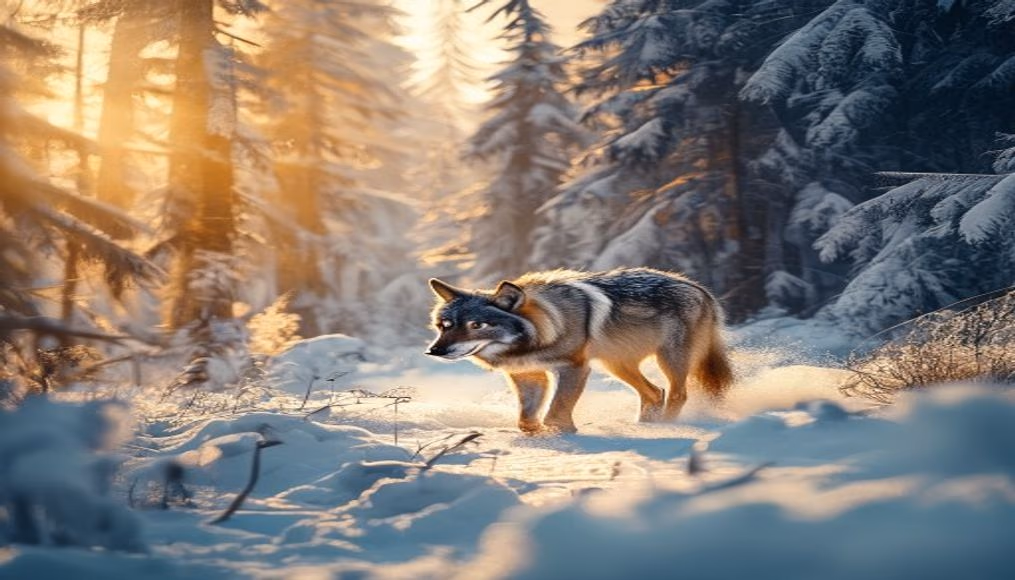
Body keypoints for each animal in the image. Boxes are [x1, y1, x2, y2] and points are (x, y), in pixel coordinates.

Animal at [425, 268, 733, 434]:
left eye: (476, 325)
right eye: (444, 325)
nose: (434, 351)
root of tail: (701, 288)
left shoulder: (573, 367)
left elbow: (555, 412)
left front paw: (564, 434)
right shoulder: (528, 375)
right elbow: (526, 420)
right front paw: (538, 436)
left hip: (668, 359)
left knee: (677, 394)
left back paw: (667, 428)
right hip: (617, 365)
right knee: (655, 393)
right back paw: (645, 427)